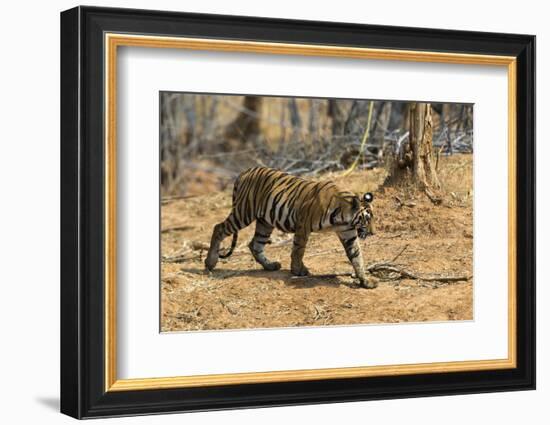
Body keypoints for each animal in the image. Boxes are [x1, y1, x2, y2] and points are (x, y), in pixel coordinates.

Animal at [205, 166, 378, 288]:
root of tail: (245, 171)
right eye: (366, 219)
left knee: (255, 244)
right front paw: (298, 271)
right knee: (219, 228)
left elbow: (357, 256)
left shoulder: (348, 233)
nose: (373, 233)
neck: (343, 218)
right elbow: (298, 250)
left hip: (265, 222)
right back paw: (210, 262)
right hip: (244, 213)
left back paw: (270, 265)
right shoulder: (303, 225)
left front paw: (366, 281)